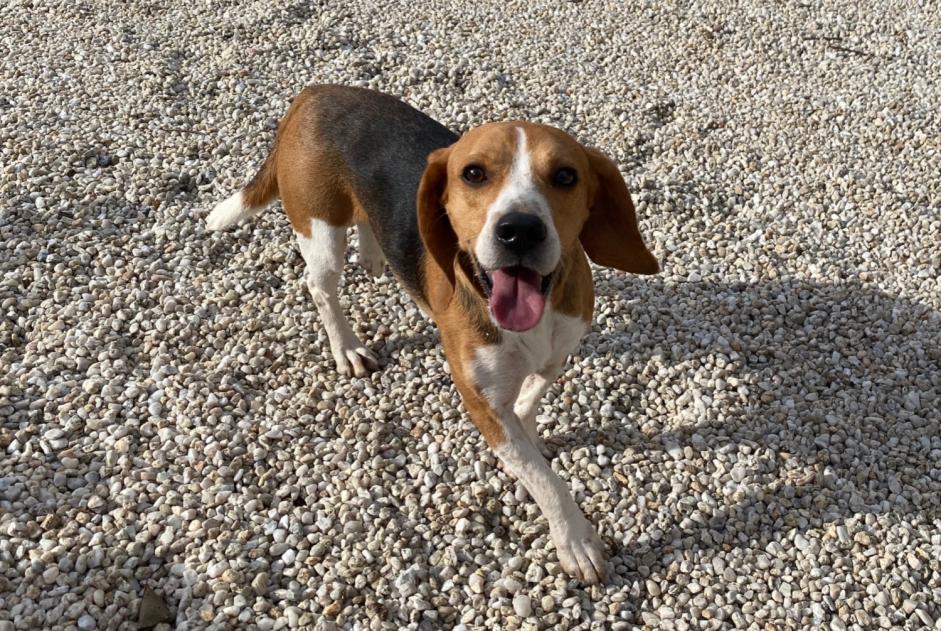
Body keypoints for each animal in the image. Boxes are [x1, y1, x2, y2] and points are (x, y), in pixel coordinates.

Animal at [208, 86, 656, 584]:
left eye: (565, 176)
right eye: (473, 173)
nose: (519, 230)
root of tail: (317, 91)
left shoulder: (559, 352)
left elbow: (531, 400)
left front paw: (531, 429)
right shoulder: (481, 404)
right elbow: (545, 481)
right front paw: (576, 541)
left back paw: (375, 257)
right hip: (320, 232)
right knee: (319, 288)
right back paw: (347, 347)